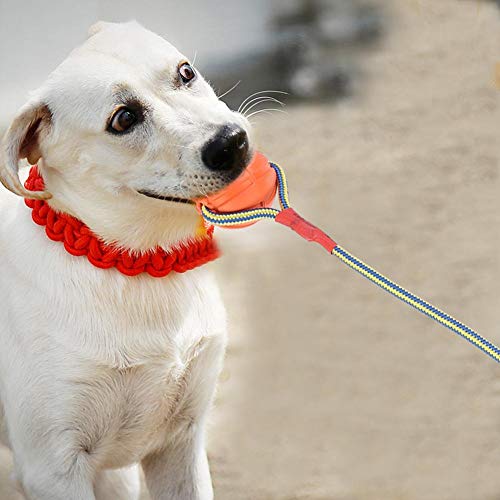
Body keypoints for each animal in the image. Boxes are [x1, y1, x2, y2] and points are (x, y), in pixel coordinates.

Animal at [0, 21, 252, 498]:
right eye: (124, 119)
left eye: (186, 72)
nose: (232, 142)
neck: (134, 267)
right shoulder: (53, 468)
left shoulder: (182, 443)